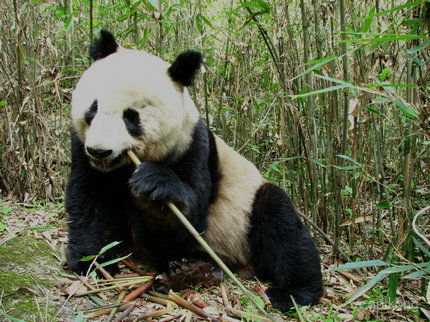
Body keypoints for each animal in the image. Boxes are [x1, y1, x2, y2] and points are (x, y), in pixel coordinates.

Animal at [66, 30, 322, 312]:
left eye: (131, 117)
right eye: (93, 109)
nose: (100, 151)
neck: (122, 168)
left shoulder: (192, 146)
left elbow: (185, 226)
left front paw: (153, 185)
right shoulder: (83, 153)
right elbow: (90, 203)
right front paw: (91, 262)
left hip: (246, 215)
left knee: (283, 226)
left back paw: (293, 293)